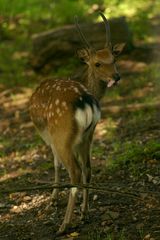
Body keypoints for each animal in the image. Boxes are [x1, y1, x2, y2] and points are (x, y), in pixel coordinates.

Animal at [28, 12, 125, 234]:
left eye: (114, 59)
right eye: (98, 63)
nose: (116, 77)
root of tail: (85, 101)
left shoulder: (49, 135)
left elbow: (55, 163)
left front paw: (53, 199)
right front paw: (81, 207)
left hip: (62, 134)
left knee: (75, 171)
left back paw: (64, 224)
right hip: (87, 135)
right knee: (88, 169)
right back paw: (84, 213)